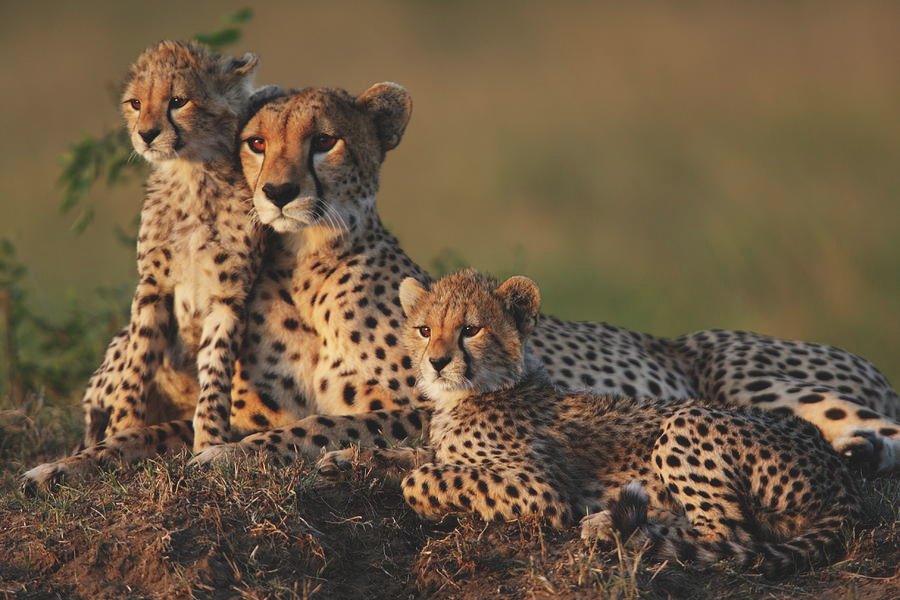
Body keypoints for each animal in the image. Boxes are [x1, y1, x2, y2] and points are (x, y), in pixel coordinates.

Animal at [23, 40, 276, 488]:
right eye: (136, 103)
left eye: (178, 101)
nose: (146, 134)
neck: (192, 175)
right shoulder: (152, 287)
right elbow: (138, 363)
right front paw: (124, 428)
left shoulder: (229, 295)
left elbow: (215, 373)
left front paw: (209, 441)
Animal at [190, 83, 899, 478]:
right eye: (256, 143)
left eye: (325, 141)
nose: (279, 193)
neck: (307, 264)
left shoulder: (434, 401)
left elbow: (325, 426)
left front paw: (226, 456)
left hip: (757, 382)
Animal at [321, 269, 866, 577]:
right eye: (424, 329)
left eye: (471, 329)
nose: (436, 362)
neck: (474, 394)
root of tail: (837, 470)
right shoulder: (441, 445)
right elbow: (411, 454)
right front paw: (344, 459)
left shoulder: (541, 489)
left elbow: (421, 477)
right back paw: (614, 521)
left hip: (686, 422)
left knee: (732, 532)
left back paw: (617, 531)